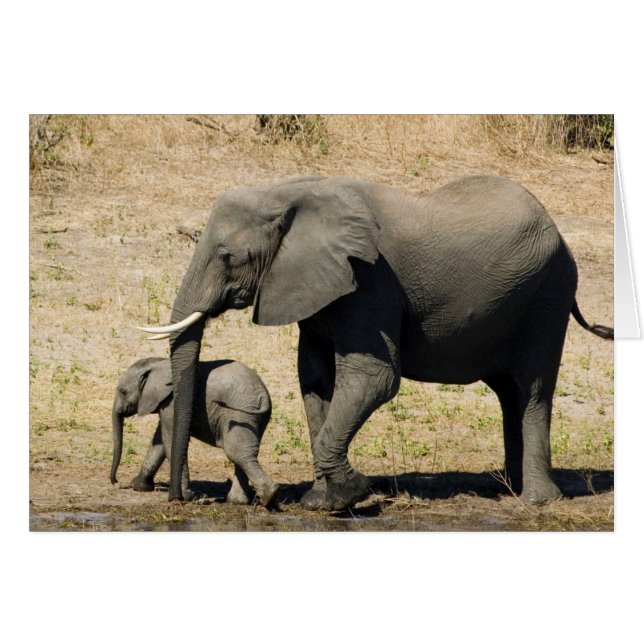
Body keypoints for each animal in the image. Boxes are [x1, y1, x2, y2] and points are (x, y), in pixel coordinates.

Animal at [110, 356, 279, 506]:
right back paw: (240, 501)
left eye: (123, 391)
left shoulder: (171, 402)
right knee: (243, 455)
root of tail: (263, 396)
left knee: (238, 453)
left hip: (238, 415)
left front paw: (184, 497)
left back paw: (269, 495)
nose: (115, 481)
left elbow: (169, 439)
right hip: (254, 418)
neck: (158, 362)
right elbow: (159, 442)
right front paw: (139, 486)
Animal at [138, 174, 613, 510]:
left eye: (227, 257)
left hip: (548, 297)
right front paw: (321, 501)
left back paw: (535, 500)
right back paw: (508, 489)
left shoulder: (370, 281)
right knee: (508, 394)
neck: (288, 192)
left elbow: (374, 379)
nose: (181, 498)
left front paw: (351, 494)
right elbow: (315, 380)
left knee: (532, 390)